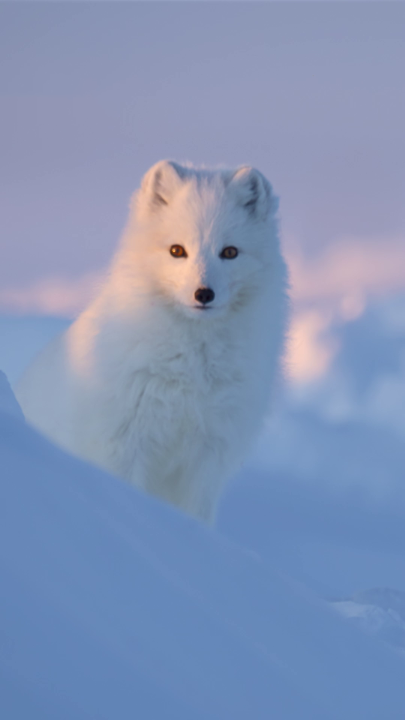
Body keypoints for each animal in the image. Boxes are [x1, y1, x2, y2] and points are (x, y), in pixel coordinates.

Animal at [16, 161, 289, 523]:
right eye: (177, 251)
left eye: (230, 252)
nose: (203, 294)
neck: (192, 366)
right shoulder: (122, 443)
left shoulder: (209, 453)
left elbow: (198, 514)